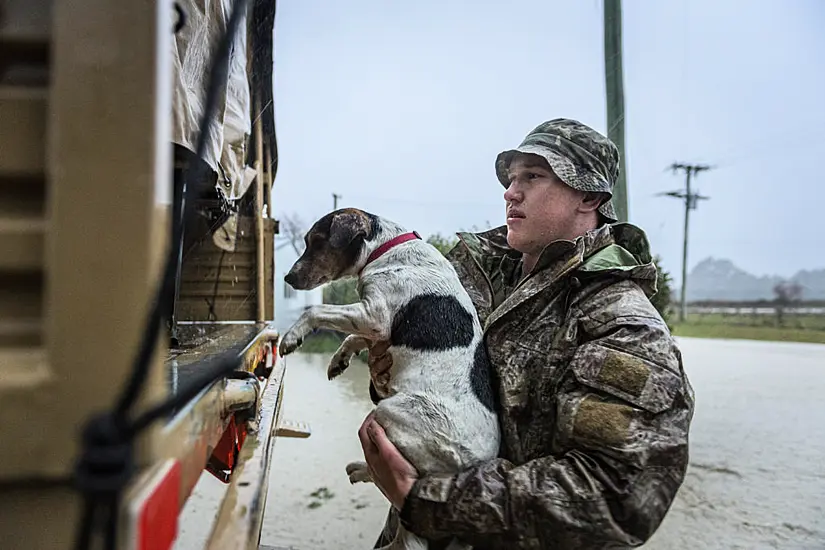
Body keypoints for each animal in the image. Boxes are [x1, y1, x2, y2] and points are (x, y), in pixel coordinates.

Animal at [276, 208, 498, 550]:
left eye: (316, 240)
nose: (288, 278)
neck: (387, 248)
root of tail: (474, 466)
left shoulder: (375, 315)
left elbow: (316, 310)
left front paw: (291, 337)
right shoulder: (373, 327)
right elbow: (353, 338)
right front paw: (339, 361)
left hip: (389, 414)